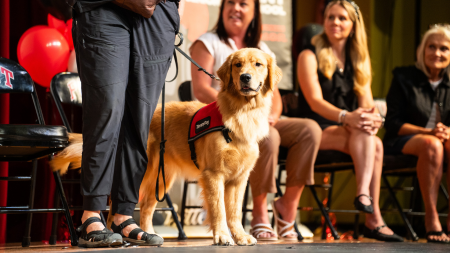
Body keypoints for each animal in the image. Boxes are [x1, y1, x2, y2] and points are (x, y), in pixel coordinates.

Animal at [49, 47, 282, 245]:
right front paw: (223, 236)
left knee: (145, 207)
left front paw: (241, 236)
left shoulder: (239, 179)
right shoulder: (213, 174)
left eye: (258, 64)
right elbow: (219, 210)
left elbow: (234, 211)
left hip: (161, 178)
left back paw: (148, 234)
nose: (245, 77)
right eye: (237, 65)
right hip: (143, 172)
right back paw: (115, 235)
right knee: (115, 205)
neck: (242, 112)